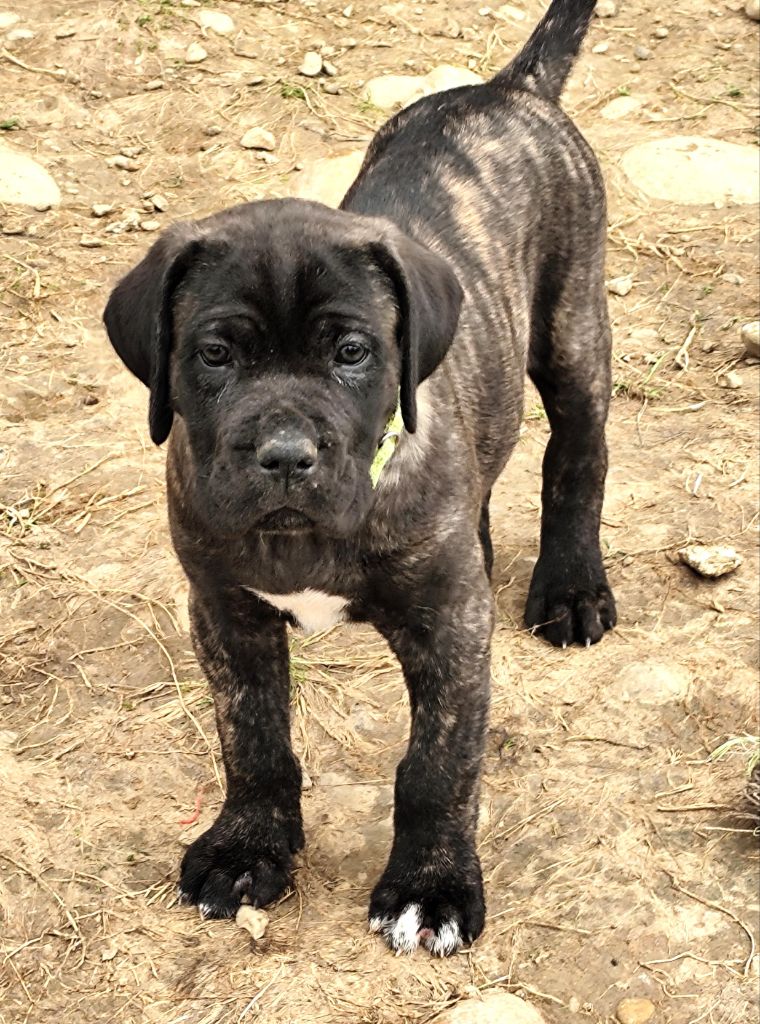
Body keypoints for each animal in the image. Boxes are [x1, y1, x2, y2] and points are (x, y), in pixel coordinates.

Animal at [103, 0, 616, 957]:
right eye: (215, 354)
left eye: (351, 352)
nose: (283, 454)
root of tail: (508, 88)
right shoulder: (224, 612)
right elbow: (252, 737)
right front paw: (247, 848)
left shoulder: (450, 632)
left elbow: (438, 762)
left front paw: (431, 886)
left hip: (573, 329)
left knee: (579, 454)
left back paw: (572, 588)